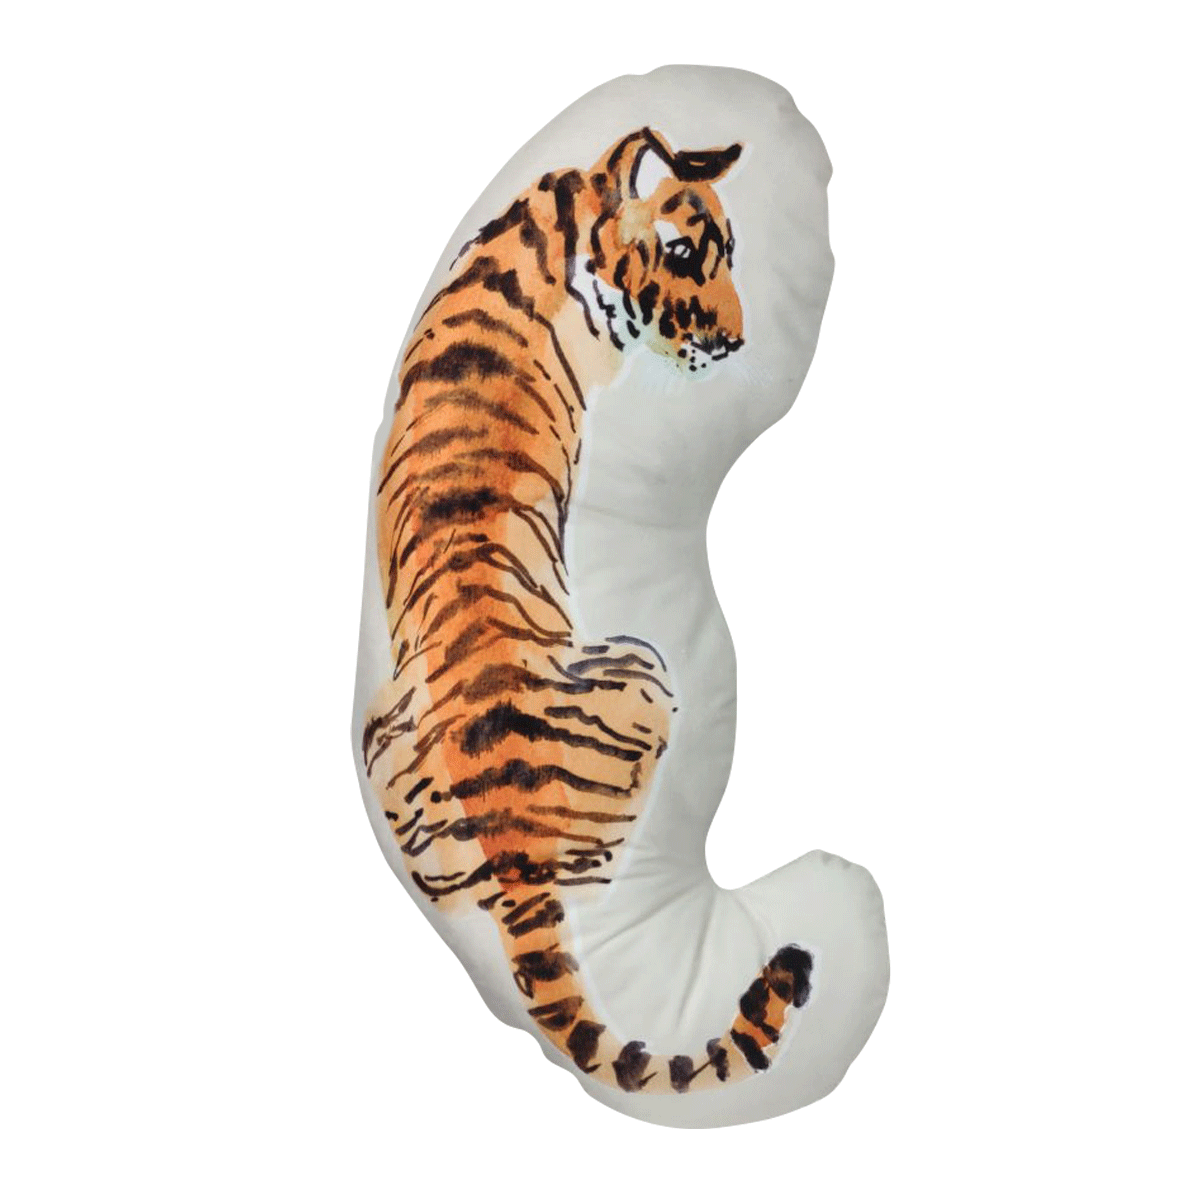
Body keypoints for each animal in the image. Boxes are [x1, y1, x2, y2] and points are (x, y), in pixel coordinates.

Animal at [361, 127, 814, 1095]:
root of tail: (514, 849)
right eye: (682, 254)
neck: (554, 226)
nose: (736, 340)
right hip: (648, 669)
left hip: (382, 739)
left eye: (733, 251)